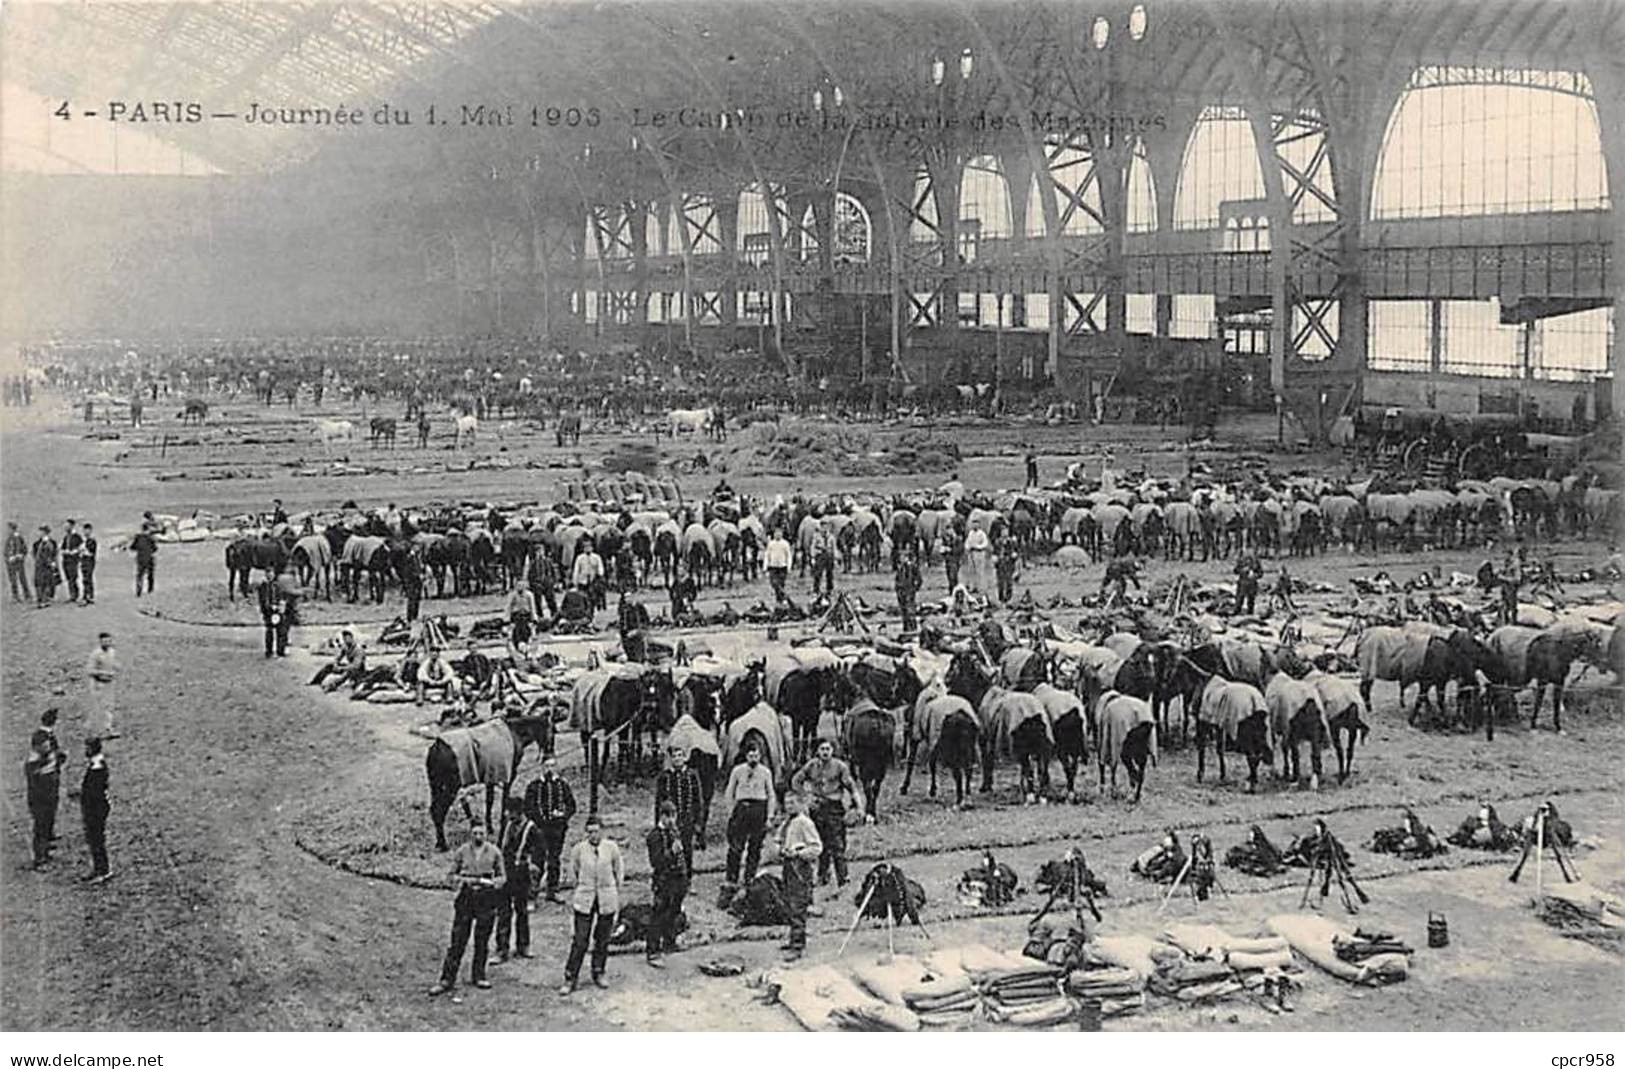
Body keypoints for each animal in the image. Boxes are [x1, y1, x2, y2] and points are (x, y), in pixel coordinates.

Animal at [422, 714, 555, 851]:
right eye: (552, 731)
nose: (549, 756)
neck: (515, 733)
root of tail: (437, 746)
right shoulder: (509, 777)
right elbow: (503, 803)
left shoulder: (491, 777)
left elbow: (489, 802)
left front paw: (489, 828)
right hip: (450, 788)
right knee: (438, 811)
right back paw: (443, 844)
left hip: (437, 787)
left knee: (434, 810)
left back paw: (440, 842)